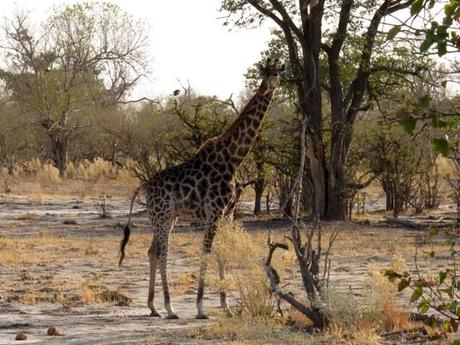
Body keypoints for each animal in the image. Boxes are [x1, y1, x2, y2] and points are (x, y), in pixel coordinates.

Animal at [118, 57, 284, 318]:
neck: (233, 159)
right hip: (162, 216)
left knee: (152, 251)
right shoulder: (214, 212)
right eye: (265, 72)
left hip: (169, 217)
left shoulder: (227, 213)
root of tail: (144, 186)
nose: (266, 87)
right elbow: (206, 251)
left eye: (276, 72)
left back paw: (153, 307)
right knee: (162, 252)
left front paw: (227, 307)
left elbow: (222, 251)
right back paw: (169, 307)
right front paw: (200, 307)